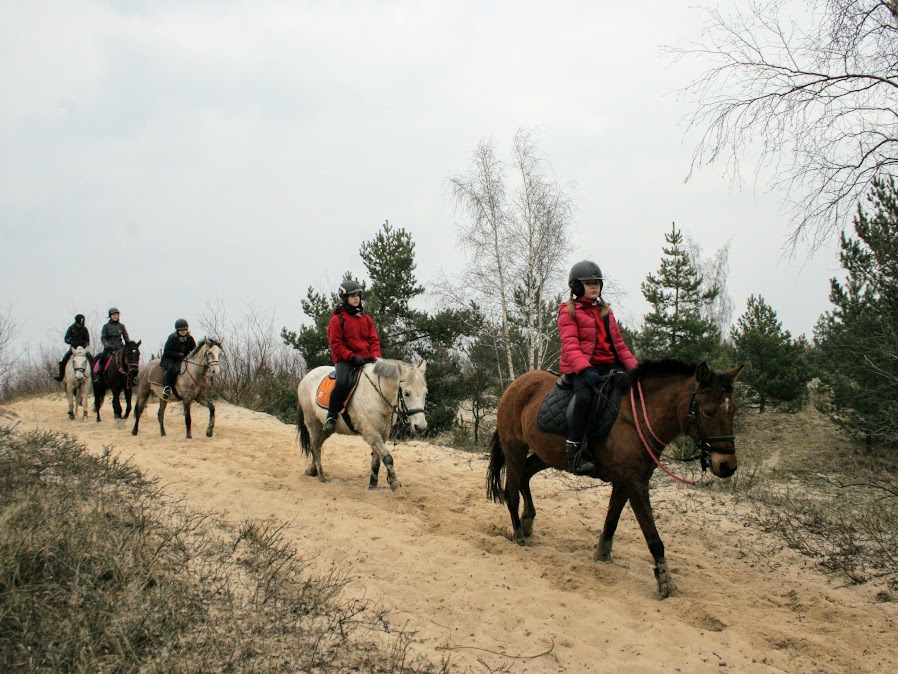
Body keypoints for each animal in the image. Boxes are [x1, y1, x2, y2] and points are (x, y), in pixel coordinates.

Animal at [296, 356, 428, 488]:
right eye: (406, 393)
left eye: (425, 393)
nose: (421, 427)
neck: (376, 396)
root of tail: (307, 376)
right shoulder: (371, 432)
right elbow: (387, 457)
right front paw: (394, 483)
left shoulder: (383, 434)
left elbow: (376, 460)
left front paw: (373, 486)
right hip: (313, 422)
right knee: (315, 446)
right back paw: (322, 476)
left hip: (324, 428)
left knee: (317, 444)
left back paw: (312, 470)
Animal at [486, 360, 740, 596]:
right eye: (707, 411)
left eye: (733, 410)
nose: (727, 466)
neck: (639, 418)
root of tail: (517, 383)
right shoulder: (634, 482)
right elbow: (652, 536)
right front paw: (666, 583)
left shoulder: (624, 481)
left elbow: (612, 520)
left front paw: (602, 555)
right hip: (515, 448)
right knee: (511, 492)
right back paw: (519, 535)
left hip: (545, 454)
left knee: (525, 476)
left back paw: (528, 521)